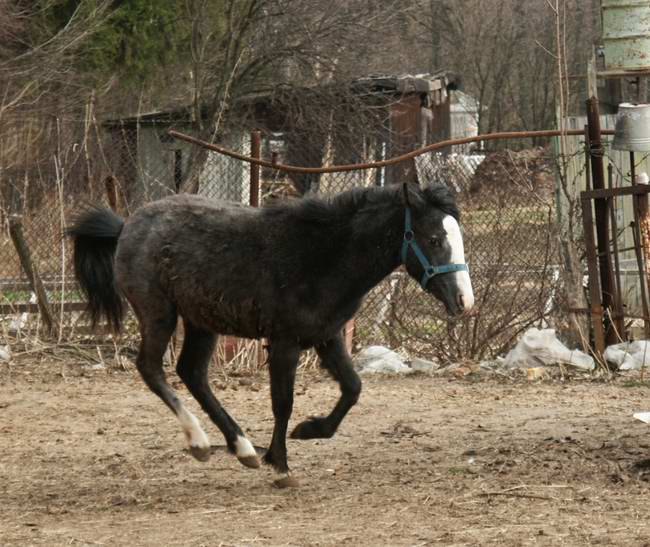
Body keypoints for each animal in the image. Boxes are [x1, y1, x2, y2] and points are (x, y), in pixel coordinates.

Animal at [67, 183, 470, 484]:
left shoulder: (327, 336)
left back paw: (243, 448)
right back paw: (200, 442)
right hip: (159, 315)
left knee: (192, 373)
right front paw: (281, 463)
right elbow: (283, 401)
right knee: (152, 369)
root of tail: (126, 227)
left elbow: (352, 388)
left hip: (201, 322)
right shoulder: (284, 343)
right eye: (435, 238)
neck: (324, 255)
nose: (464, 301)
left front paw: (309, 430)